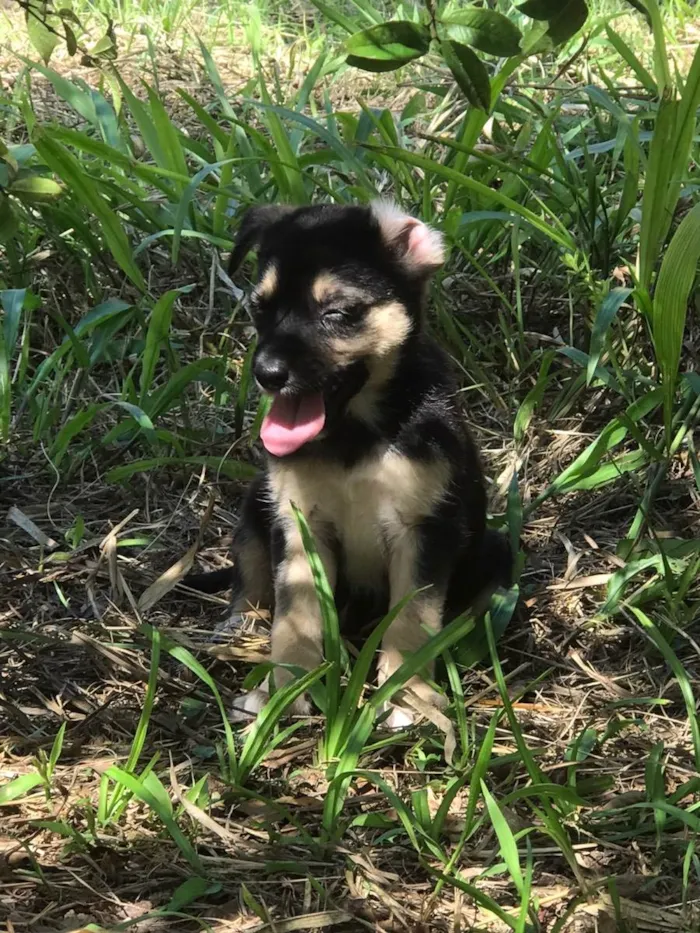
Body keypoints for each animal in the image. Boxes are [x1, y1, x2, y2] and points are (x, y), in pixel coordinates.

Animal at [186, 202, 516, 728]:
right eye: (260, 309)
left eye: (337, 314)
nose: (266, 374)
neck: (355, 437)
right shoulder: (299, 527)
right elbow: (294, 618)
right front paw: (284, 690)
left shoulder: (425, 531)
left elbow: (413, 621)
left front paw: (408, 696)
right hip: (256, 506)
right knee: (251, 578)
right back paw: (239, 627)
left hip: (495, 552)